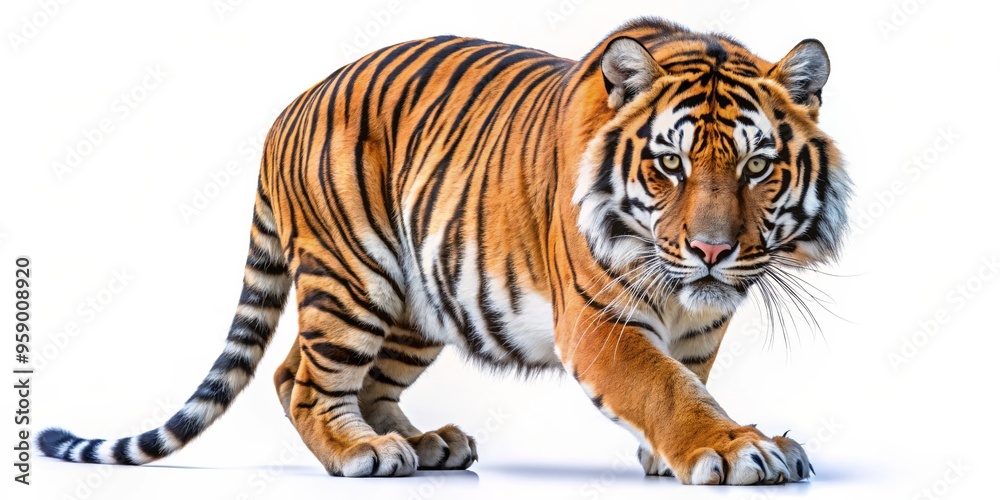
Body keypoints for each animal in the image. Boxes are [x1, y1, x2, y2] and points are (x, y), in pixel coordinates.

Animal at [38, 17, 851, 485]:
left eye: (757, 166)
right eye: (671, 165)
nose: (712, 250)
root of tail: (287, 110)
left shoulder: (703, 324)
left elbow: (691, 377)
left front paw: (683, 450)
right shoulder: (599, 318)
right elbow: (664, 386)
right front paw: (736, 449)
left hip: (420, 301)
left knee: (352, 379)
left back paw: (423, 442)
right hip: (353, 279)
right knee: (299, 376)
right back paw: (360, 452)